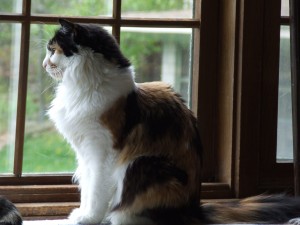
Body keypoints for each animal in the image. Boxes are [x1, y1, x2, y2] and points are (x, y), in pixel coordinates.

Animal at [42, 18, 300, 224]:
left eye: (52, 50)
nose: (44, 64)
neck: (85, 84)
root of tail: (195, 209)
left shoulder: (101, 151)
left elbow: (96, 191)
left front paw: (89, 218)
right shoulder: (84, 151)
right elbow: (87, 188)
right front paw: (83, 213)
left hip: (142, 164)